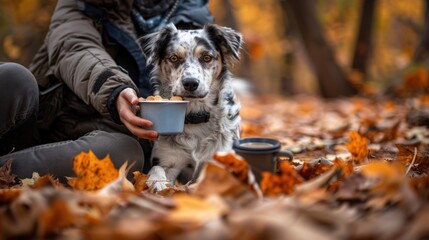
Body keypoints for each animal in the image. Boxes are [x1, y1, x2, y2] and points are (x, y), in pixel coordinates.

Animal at [140, 23, 241, 191]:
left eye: (207, 57)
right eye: (174, 58)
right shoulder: (168, 160)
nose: (190, 83)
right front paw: (158, 182)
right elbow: (157, 168)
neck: (196, 115)